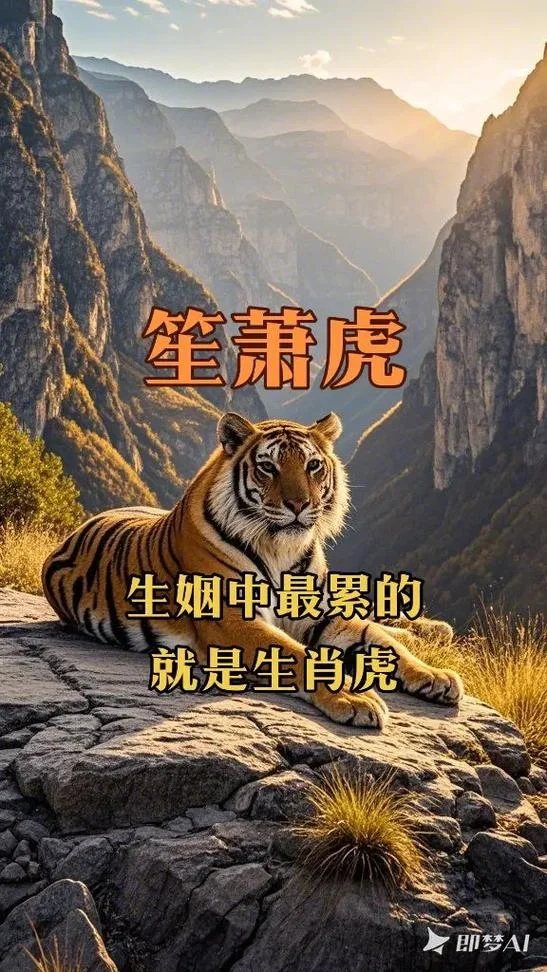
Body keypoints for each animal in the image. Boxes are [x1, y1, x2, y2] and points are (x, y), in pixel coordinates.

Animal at [42, 412, 463, 728]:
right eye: (268, 467)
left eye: (313, 466)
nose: (299, 504)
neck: (281, 549)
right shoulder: (232, 621)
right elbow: (298, 654)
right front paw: (354, 697)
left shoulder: (320, 612)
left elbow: (379, 640)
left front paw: (435, 677)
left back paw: (431, 633)